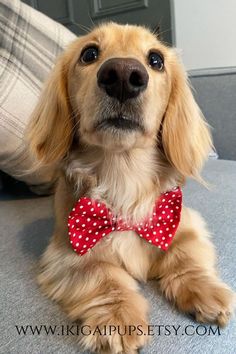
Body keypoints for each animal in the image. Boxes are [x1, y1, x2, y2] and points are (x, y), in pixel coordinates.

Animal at [27, 22, 234, 354]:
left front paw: (206, 291)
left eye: (156, 60)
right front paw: (118, 318)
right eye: (89, 53)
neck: (124, 174)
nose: (123, 75)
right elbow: (104, 276)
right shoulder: (68, 252)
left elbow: (185, 255)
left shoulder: (184, 222)